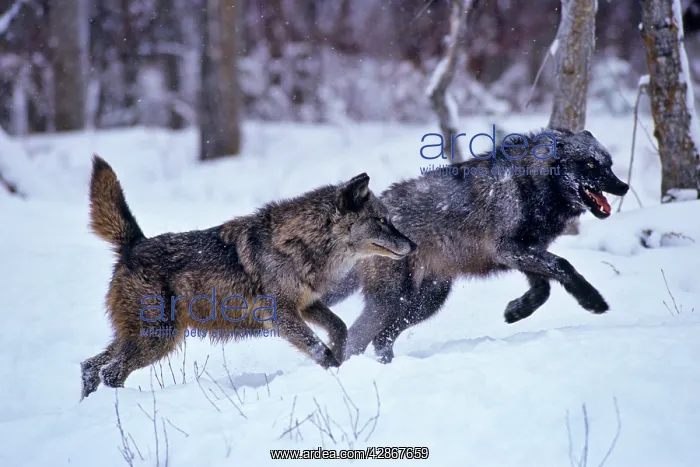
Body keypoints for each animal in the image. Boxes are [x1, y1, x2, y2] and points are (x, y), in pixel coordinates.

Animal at [80, 156, 416, 400]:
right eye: (382, 221)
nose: (413, 245)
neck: (301, 243)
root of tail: (135, 242)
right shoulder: (280, 315)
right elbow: (318, 348)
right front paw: (336, 370)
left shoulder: (307, 305)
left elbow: (340, 327)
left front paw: (341, 355)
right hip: (159, 339)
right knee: (110, 372)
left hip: (141, 337)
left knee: (90, 366)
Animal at [322, 128, 630, 363]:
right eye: (590, 165)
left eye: (609, 165)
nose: (624, 186)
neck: (529, 185)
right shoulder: (509, 249)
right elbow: (562, 265)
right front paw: (592, 300)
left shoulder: (523, 251)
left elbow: (543, 289)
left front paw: (516, 311)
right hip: (392, 301)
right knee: (357, 338)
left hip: (425, 302)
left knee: (381, 339)